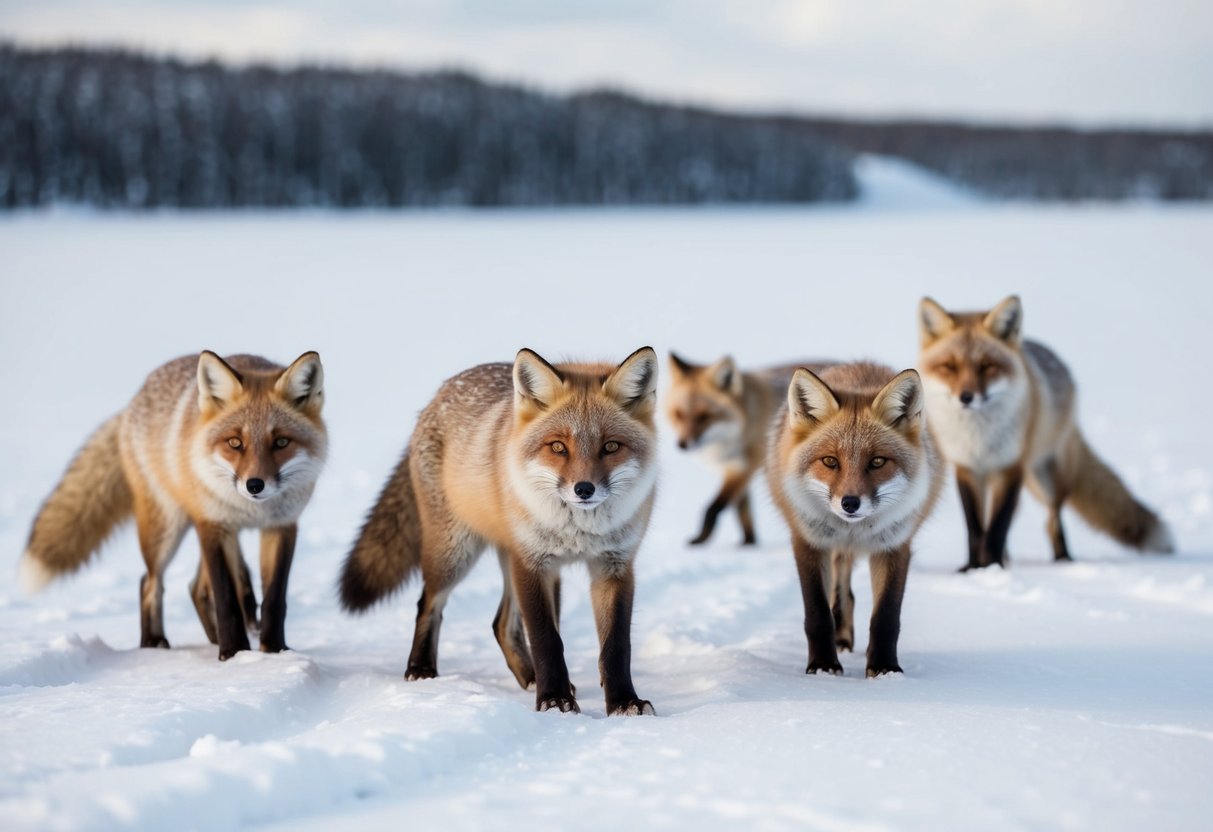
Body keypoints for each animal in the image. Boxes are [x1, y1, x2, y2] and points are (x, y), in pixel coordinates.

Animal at [20, 351, 327, 660]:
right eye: (234, 442)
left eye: (281, 442)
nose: (254, 485)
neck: (252, 511)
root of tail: (134, 401)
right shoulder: (213, 525)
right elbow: (226, 599)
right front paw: (233, 653)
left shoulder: (281, 526)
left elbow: (275, 599)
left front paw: (273, 652)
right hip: (166, 529)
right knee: (149, 582)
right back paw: (153, 642)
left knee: (196, 587)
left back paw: (213, 638)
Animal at [339, 347, 659, 716]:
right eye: (558, 447)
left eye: (610, 447)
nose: (584, 489)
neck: (578, 531)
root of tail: (441, 391)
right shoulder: (532, 563)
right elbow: (547, 639)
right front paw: (554, 699)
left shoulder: (614, 566)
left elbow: (616, 646)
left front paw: (623, 702)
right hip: (455, 553)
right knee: (428, 604)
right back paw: (421, 670)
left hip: (526, 567)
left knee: (501, 625)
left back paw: (530, 677)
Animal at [666, 353, 831, 545]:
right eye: (679, 415)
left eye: (704, 416)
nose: (682, 444)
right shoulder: (735, 467)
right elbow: (743, 511)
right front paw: (748, 543)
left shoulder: (744, 467)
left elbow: (713, 508)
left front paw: (701, 539)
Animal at [767, 363, 943, 677]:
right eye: (830, 461)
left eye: (877, 462)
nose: (850, 503)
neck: (852, 531)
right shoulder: (808, 542)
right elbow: (818, 614)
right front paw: (822, 666)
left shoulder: (894, 545)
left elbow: (886, 618)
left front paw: (885, 668)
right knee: (840, 594)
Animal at [918, 296, 1173, 570]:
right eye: (949, 366)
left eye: (988, 366)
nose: (966, 397)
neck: (978, 438)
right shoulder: (968, 469)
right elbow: (976, 529)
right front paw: (974, 568)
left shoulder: (1012, 467)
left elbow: (997, 528)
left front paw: (993, 567)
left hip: (1045, 479)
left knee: (1052, 517)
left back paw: (1062, 558)